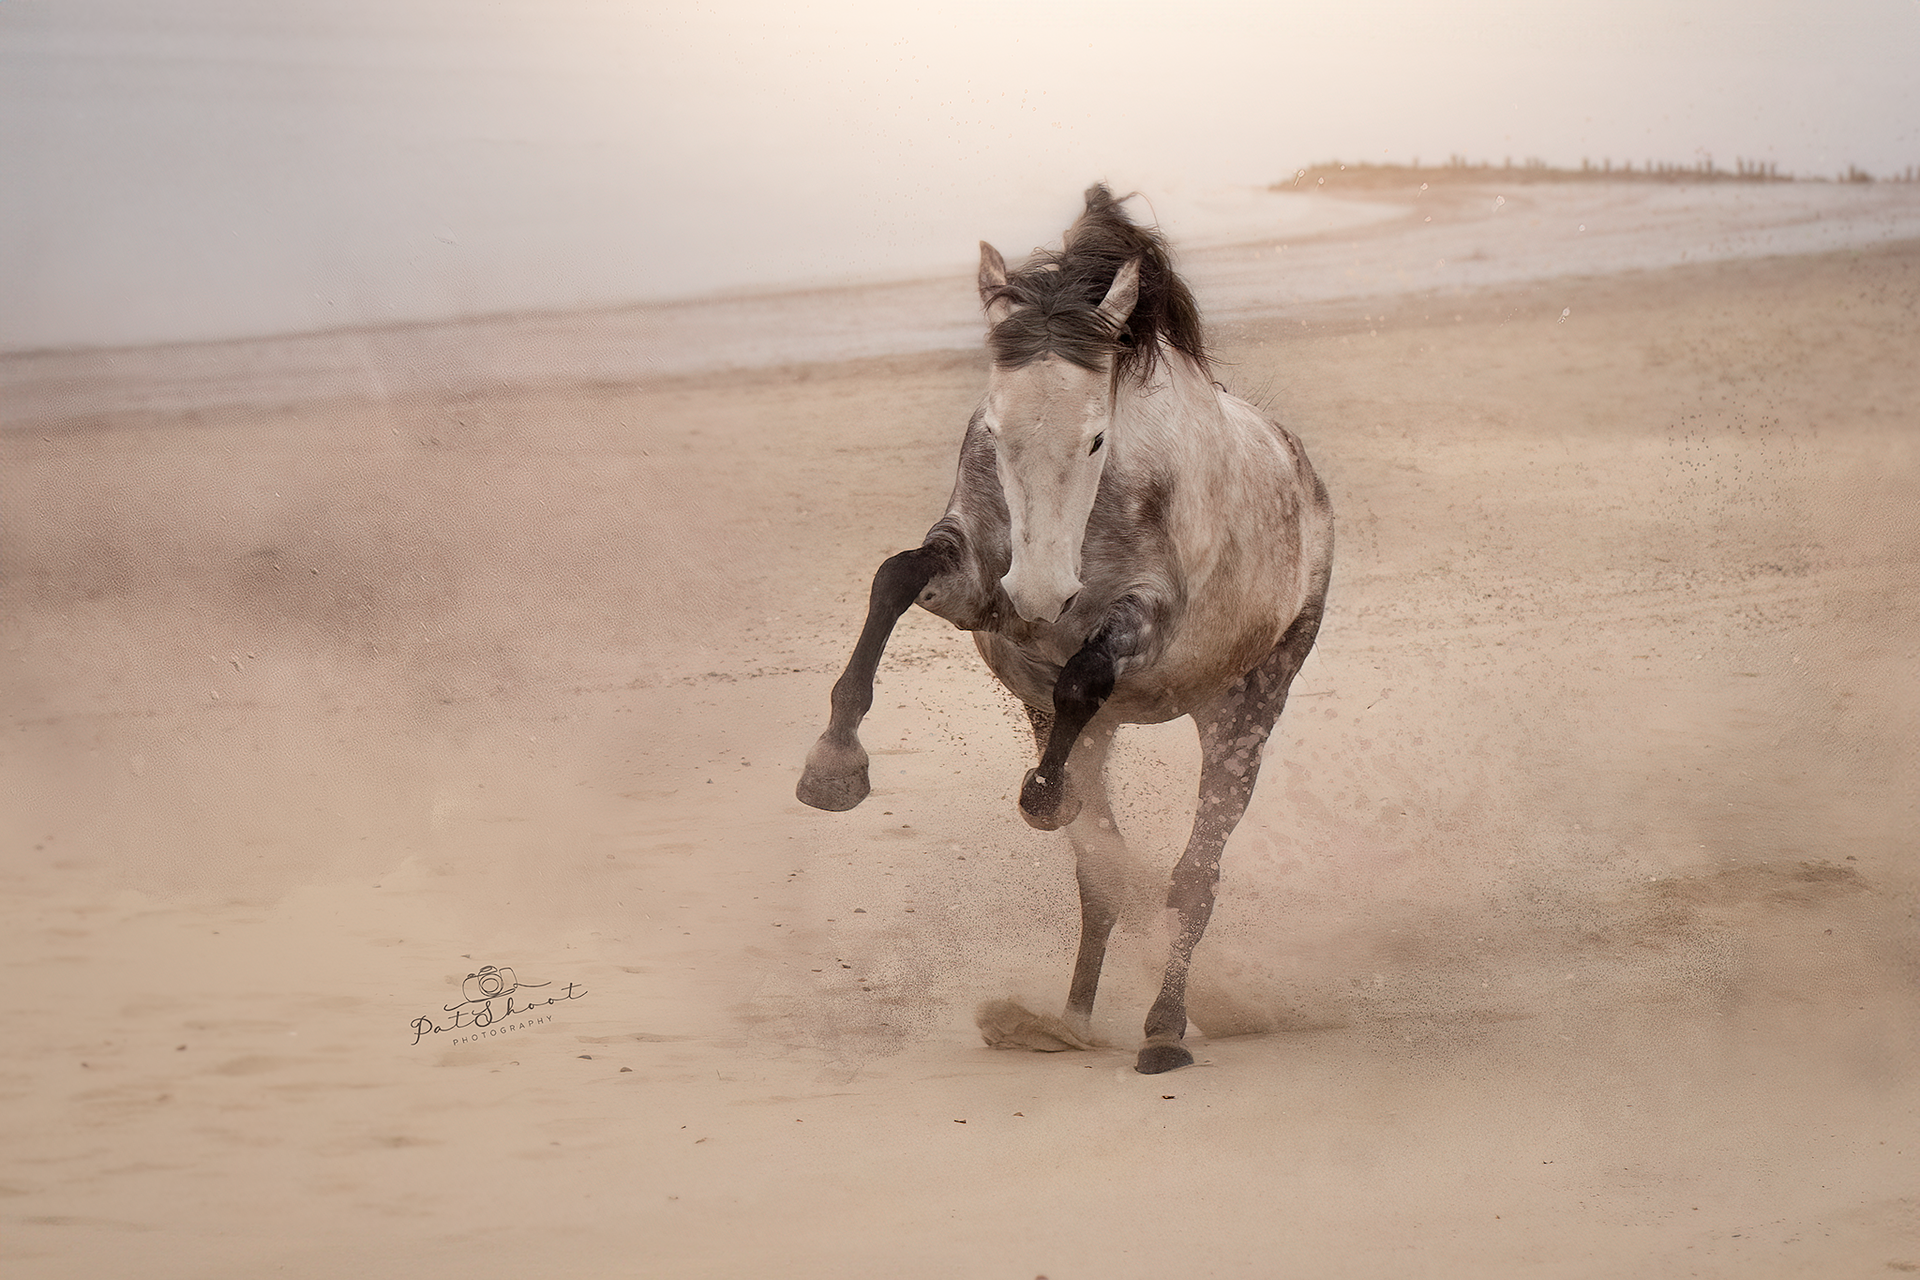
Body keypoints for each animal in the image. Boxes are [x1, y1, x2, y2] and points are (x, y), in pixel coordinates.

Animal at [796, 184, 1334, 1074]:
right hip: (1093, 724)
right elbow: (894, 578)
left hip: (1244, 709)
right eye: (994, 429)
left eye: (1095, 438)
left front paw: (1041, 795)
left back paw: (1163, 1029)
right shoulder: (974, 583)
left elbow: (1086, 672)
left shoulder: (1146, 618)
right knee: (1103, 876)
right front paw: (834, 764)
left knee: (1194, 877)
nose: (1041, 597)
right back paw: (1067, 1020)